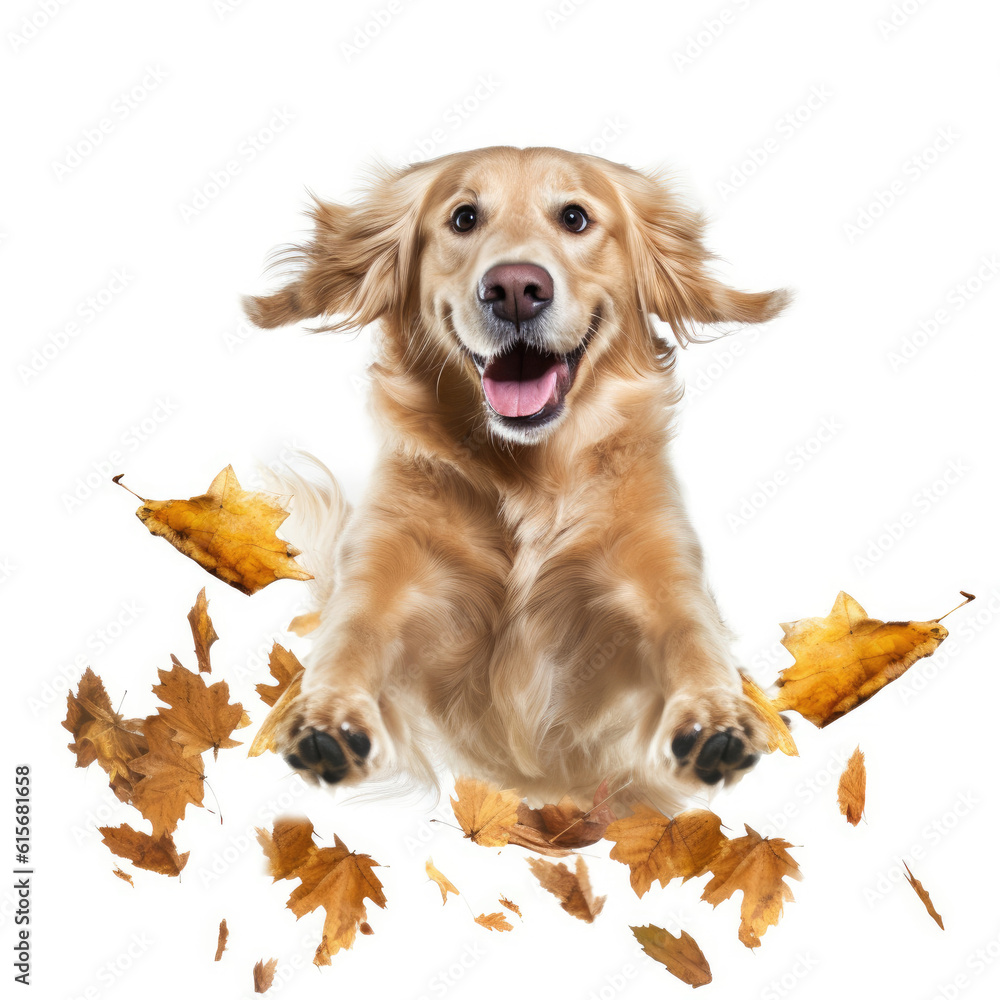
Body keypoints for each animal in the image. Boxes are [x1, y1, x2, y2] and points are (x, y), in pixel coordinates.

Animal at [244, 145, 788, 808]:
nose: (514, 289)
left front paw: (714, 715)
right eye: (464, 218)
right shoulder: (385, 574)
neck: (525, 477)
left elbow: (691, 638)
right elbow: (351, 637)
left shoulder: (658, 575)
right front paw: (328, 714)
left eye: (575, 217)